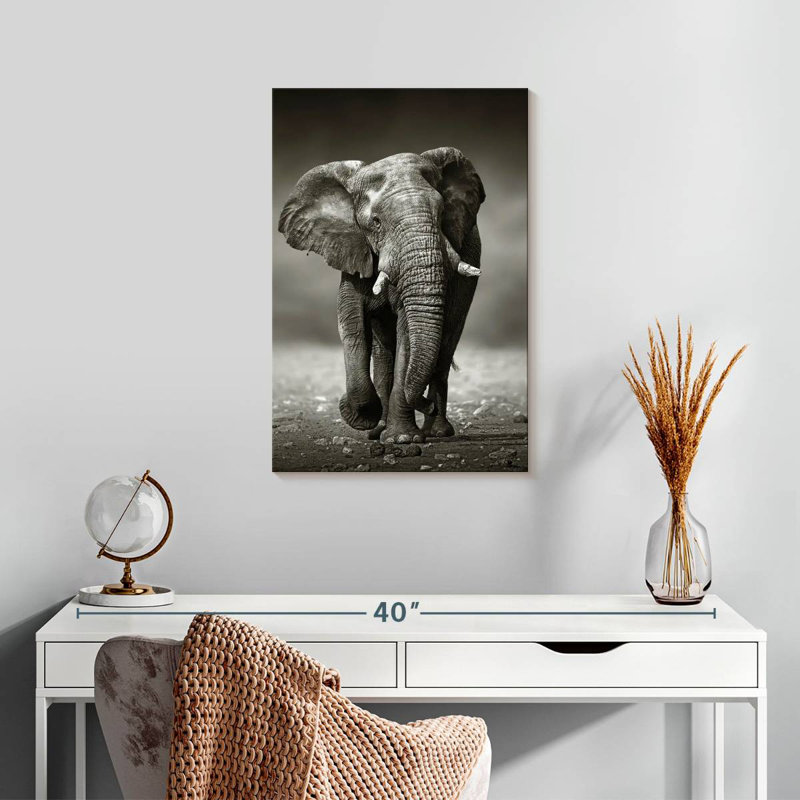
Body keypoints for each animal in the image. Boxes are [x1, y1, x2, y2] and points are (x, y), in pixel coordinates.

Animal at [278, 148, 485, 444]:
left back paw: (437, 432)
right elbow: (351, 324)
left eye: (442, 213)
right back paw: (380, 430)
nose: (427, 405)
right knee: (384, 351)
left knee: (445, 344)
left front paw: (402, 439)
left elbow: (407, 333)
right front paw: (362, 416)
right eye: (375, 223)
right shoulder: (353, 250)